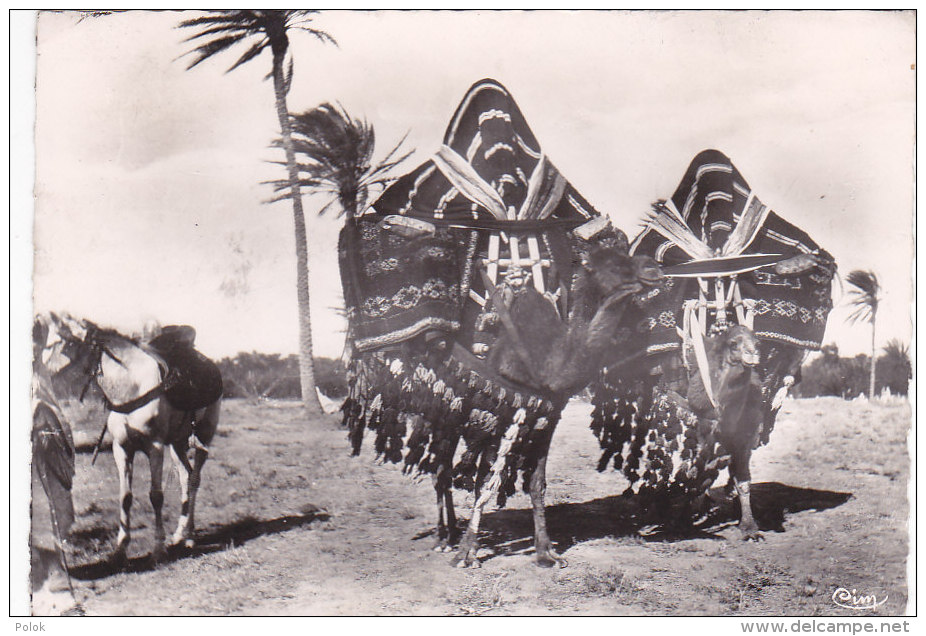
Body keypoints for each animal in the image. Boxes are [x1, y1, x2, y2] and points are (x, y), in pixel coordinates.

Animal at [46, 316, 221, 564]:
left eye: (65, 343)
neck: (131, 387)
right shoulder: (121, 449)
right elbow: (125, 497)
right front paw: (120, 548)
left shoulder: (155, 447)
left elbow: (156, 496)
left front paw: (158, 549)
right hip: (177, 444)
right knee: (185, 477)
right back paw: (179, 534)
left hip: (203, 437)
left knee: (195, 480)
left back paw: (189, 536)